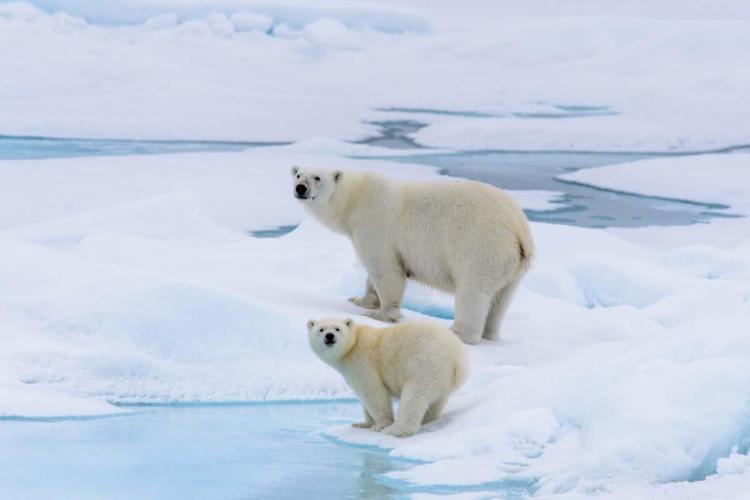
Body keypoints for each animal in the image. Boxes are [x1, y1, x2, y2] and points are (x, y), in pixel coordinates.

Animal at [294, 168, 536, 344]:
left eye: (317, 177)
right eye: (298, 173)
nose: (300, 188)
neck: (357, 197)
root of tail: (519, 229)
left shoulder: (375, 224)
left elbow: (385, 269)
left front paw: (382, 314)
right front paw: (359, 300)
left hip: (482, 247)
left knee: (474, 291)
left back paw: (458, 332)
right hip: (511, 266)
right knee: (501, 299)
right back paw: (490, 333)